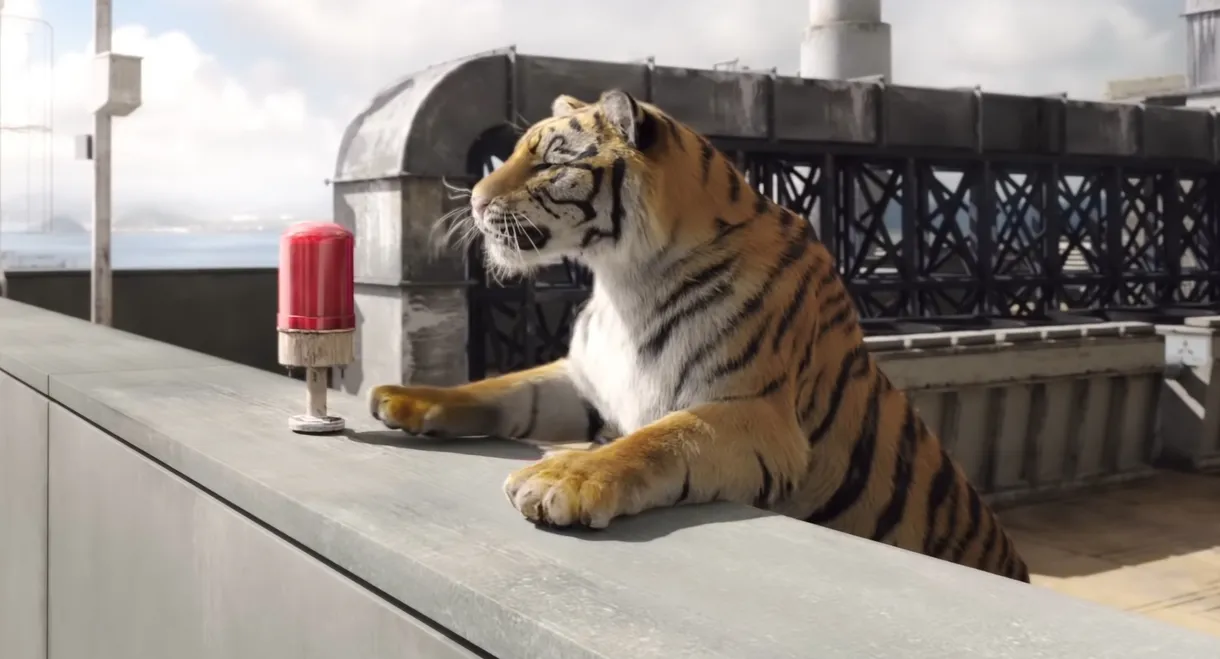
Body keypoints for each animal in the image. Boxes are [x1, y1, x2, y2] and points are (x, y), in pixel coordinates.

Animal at [367, 89, 1031, 583]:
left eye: (553, 161)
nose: (475, 203)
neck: (623, 280)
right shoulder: (588, 381)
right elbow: (502, 388)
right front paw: (406, 397)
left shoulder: (753, 413)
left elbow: (656, 440)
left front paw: (563, 478)